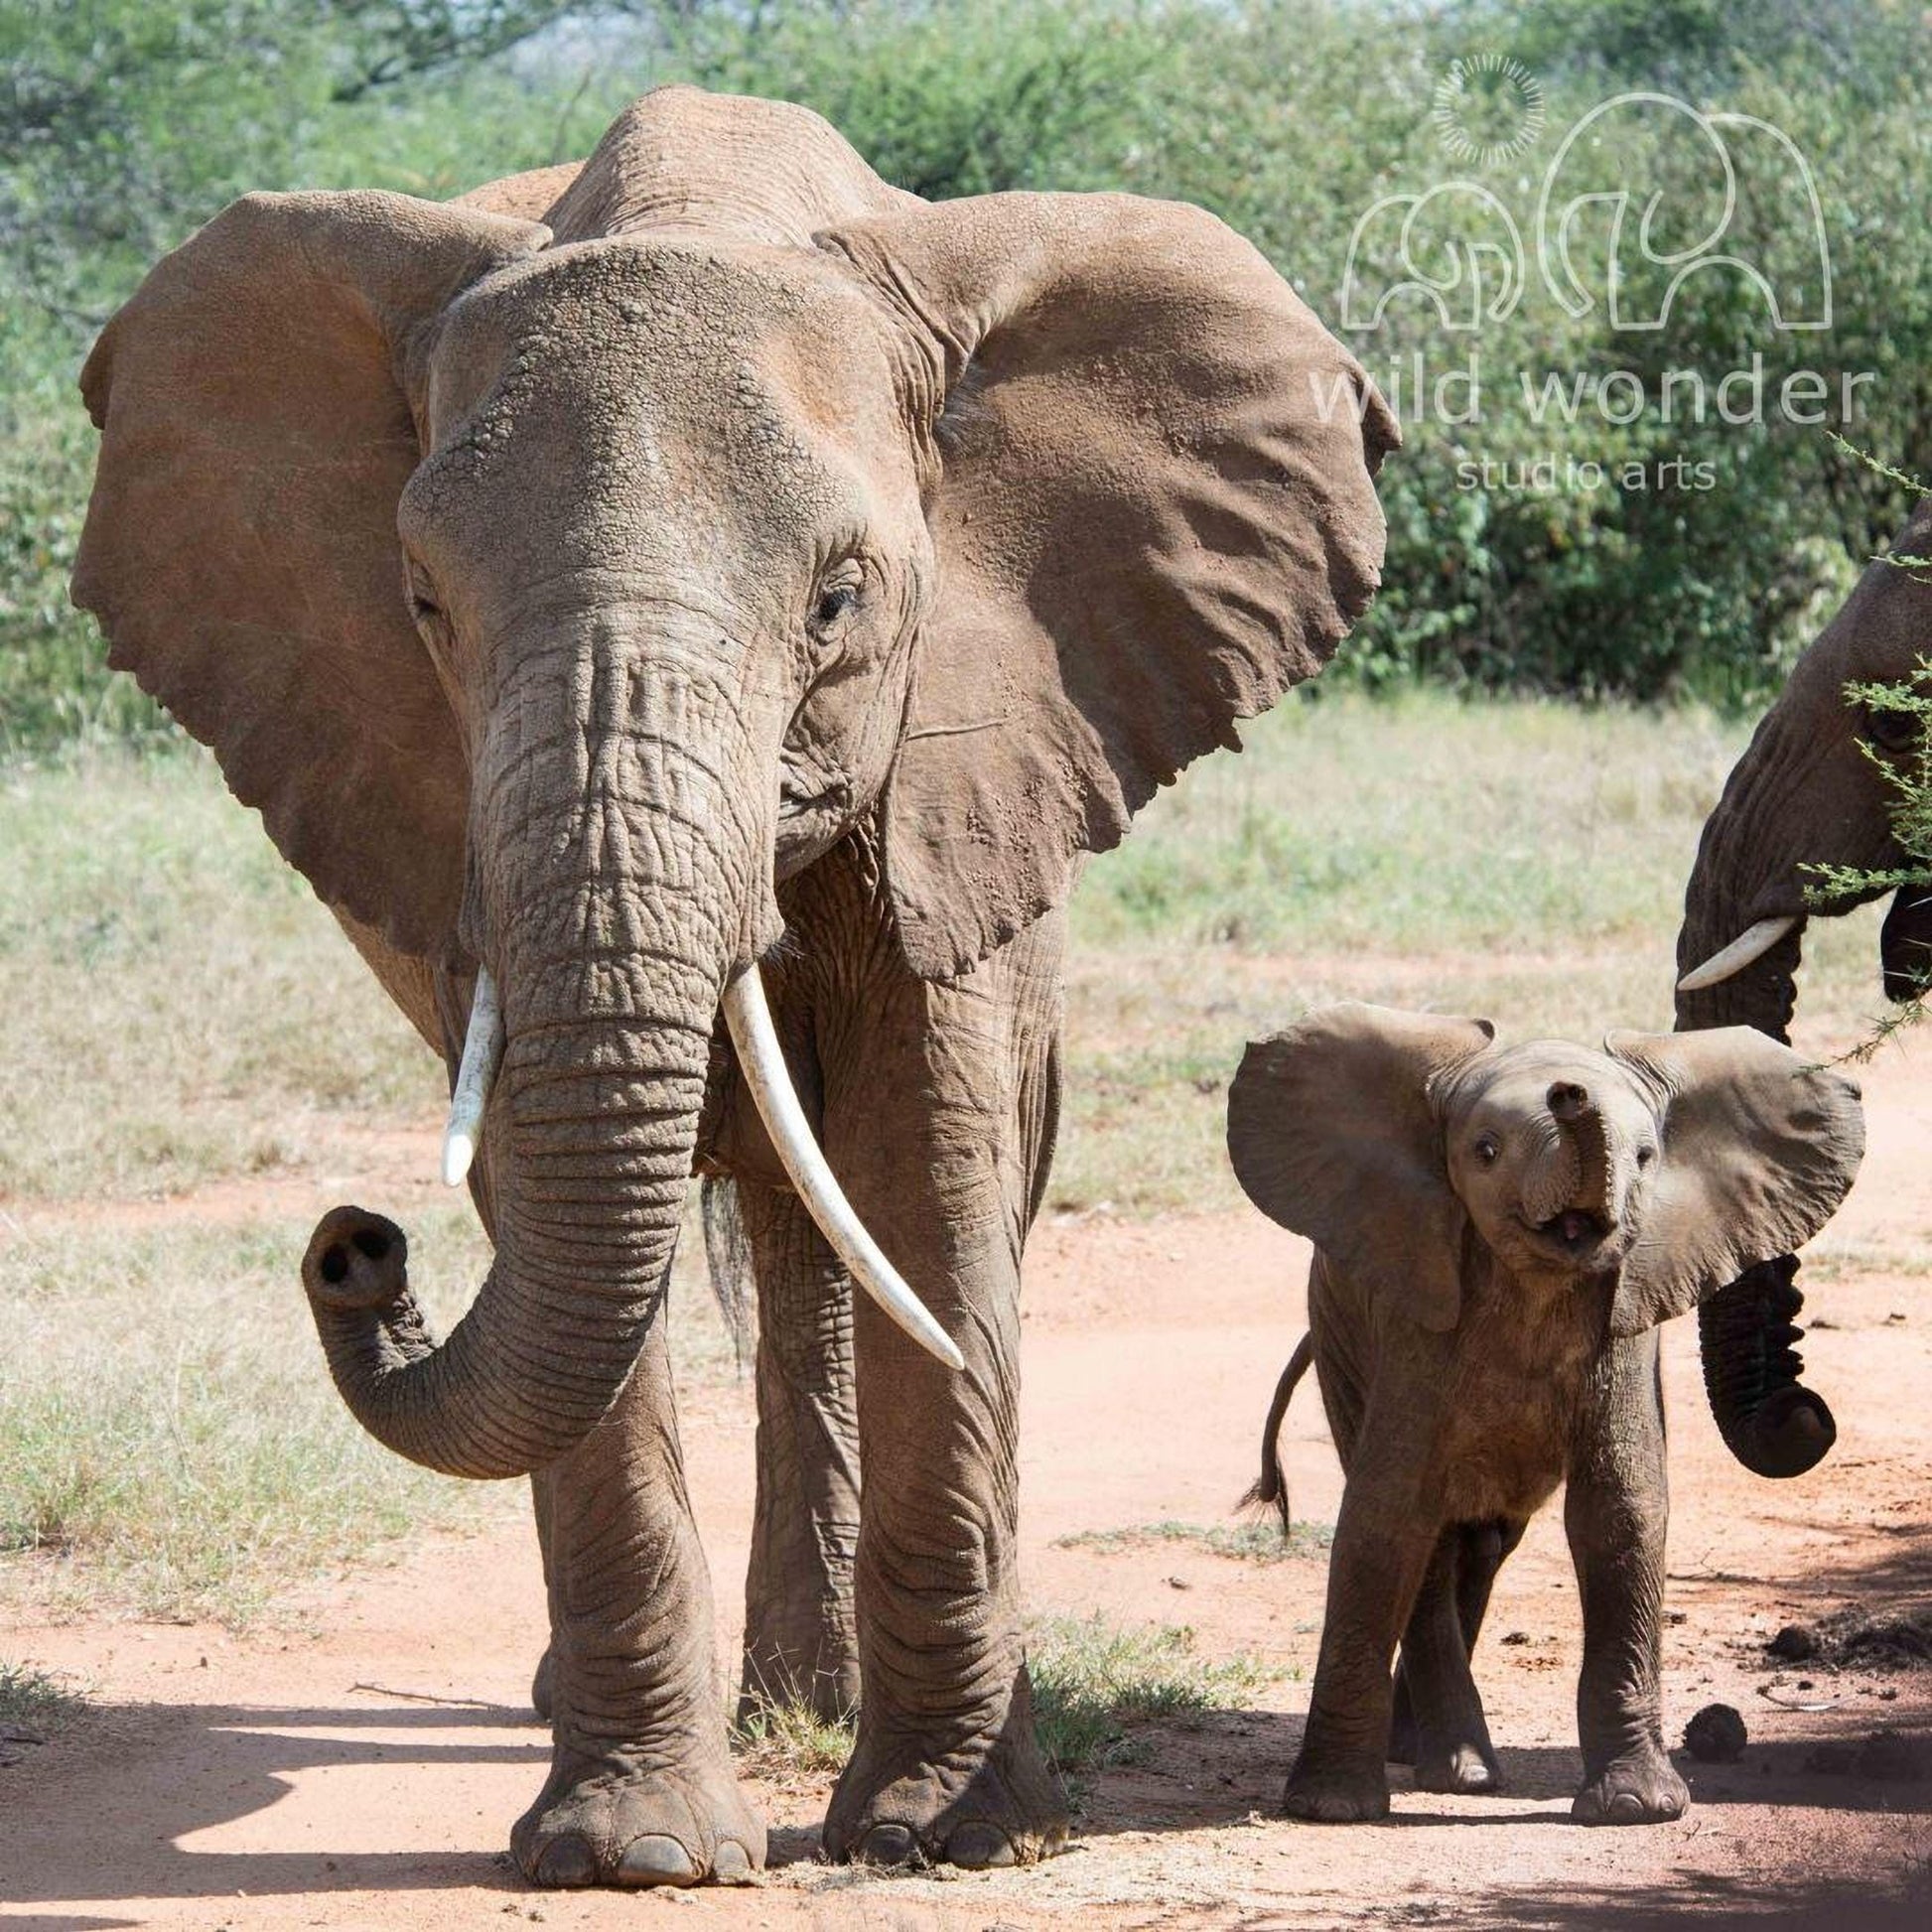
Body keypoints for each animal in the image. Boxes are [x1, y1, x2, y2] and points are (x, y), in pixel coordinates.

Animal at [71, 87, 1395, 1887]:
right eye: (422, 605)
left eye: (839, 603)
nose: (357, 1249)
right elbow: (545, 1192)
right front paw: (634, 1854)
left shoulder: (970, 747)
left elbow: (929, 1176)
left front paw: (949, 1833)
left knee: (837, 1226)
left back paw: (814, 1706)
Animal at [1226, 1003, 1864, 1825]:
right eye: (1485, 1151)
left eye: (1647, 1157)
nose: (1570, 1093)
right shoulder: (1413, 1324)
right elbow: (1386, 1516)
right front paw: (1330, 1808)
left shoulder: (1625, 1324)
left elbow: (1621, 1510)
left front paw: (1636, 1810)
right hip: (1338, 1333)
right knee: (1435, 1542)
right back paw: (1457, 1772)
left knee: (1483, 1544)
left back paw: (1432, 1756)